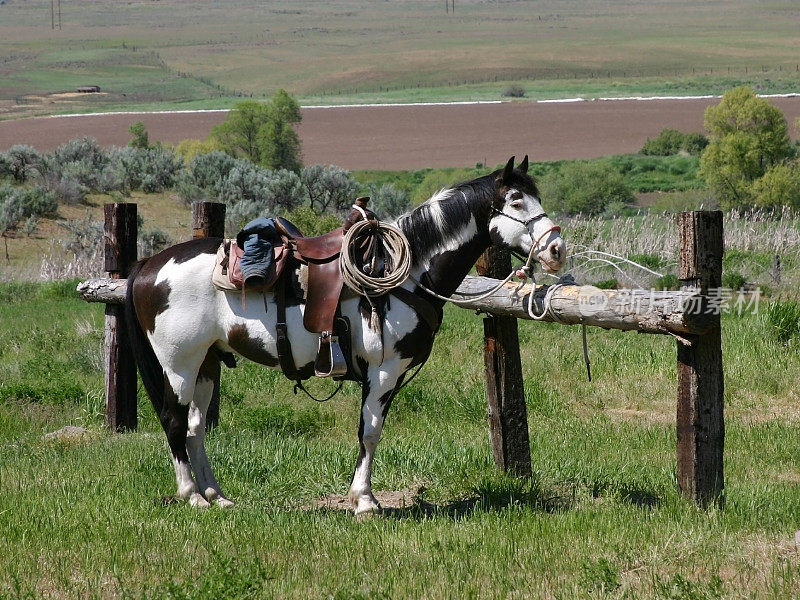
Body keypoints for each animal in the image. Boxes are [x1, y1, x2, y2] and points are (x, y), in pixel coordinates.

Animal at [125, 157, 564, 512]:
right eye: (516, 201)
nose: (556, 249)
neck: (406, 273)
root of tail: (149, 264)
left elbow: (371, 432)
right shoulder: (384, 370)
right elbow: (369, 432)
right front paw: (365, 500)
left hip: (207, 364)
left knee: (195, 428)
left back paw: (217, 496)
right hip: (179, 366)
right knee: (174, 422)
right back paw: (192, 496)